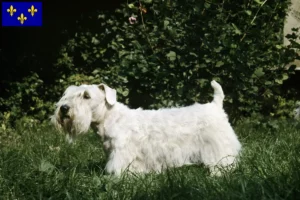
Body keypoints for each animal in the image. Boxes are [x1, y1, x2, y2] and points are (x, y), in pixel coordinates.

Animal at [52, 79, 241, 175]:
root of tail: (215, 105)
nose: (64, 109)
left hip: (219, 147)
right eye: (67, 94)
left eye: (86, 96)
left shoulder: (121, 154)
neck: (111, 118)